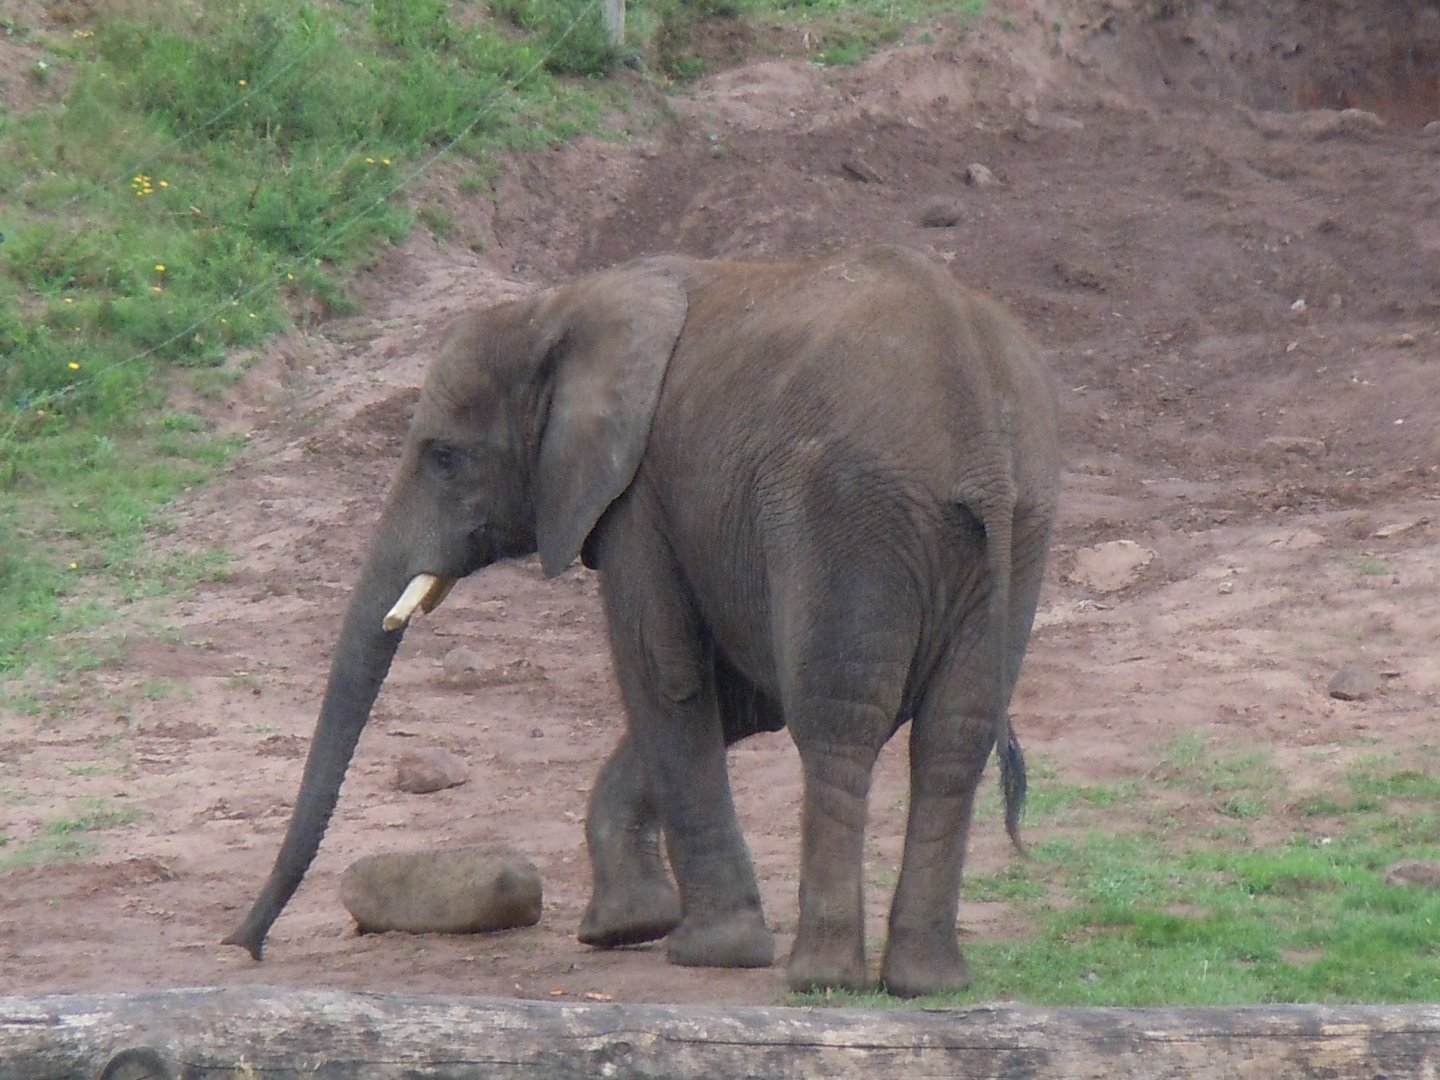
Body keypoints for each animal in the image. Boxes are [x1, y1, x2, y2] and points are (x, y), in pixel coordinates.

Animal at [224, 244, 1060, 998]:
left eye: (442, 457)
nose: (244, 946)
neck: (559, 307)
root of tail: (977, 422)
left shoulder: (636, 496)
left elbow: (667, 674)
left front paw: (709, 953)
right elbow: (744, 695)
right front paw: (624, 927)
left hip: (849, 513)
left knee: (838, 719)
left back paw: (823, 980)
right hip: (1017, 524)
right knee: (955, 732)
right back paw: (926, 985)